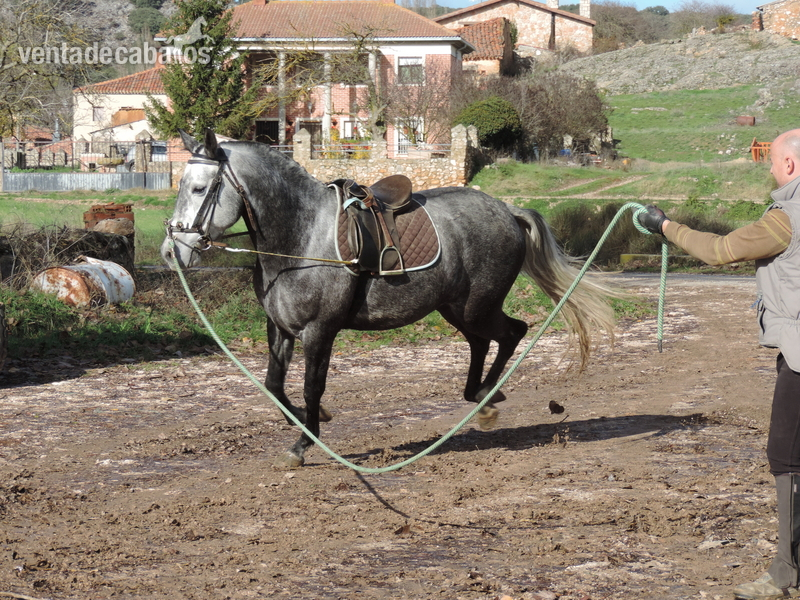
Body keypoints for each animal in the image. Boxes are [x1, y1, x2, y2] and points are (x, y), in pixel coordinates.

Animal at [162, 129, 615, 468]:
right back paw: (482, 397)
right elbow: (275, 386)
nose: (171, 252)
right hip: (456, 309)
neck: (301, 237)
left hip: (476, 306)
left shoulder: (319, 331)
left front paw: (304, 443)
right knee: (484, 341)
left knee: (510, 333)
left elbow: (311, 387)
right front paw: (312, 421)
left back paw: (487, 396)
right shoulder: (281, 328)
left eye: (199, 188)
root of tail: (507, 210)